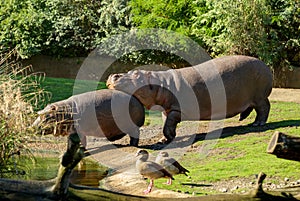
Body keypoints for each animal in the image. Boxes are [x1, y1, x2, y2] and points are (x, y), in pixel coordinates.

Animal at [106, 55, 274, 143]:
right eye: (130, 71)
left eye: (136, 74)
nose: (113, 75)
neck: (160, 83)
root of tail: (266, 65)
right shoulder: (166, 110)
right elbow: (166, 123)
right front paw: (163, 140)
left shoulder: (176, 109)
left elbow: (168, 124)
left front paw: (168, 137)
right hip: (251, 97)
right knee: (253, 107)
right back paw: (245, 119)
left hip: (259, 96)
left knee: (264, 108)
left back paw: (257, 124)